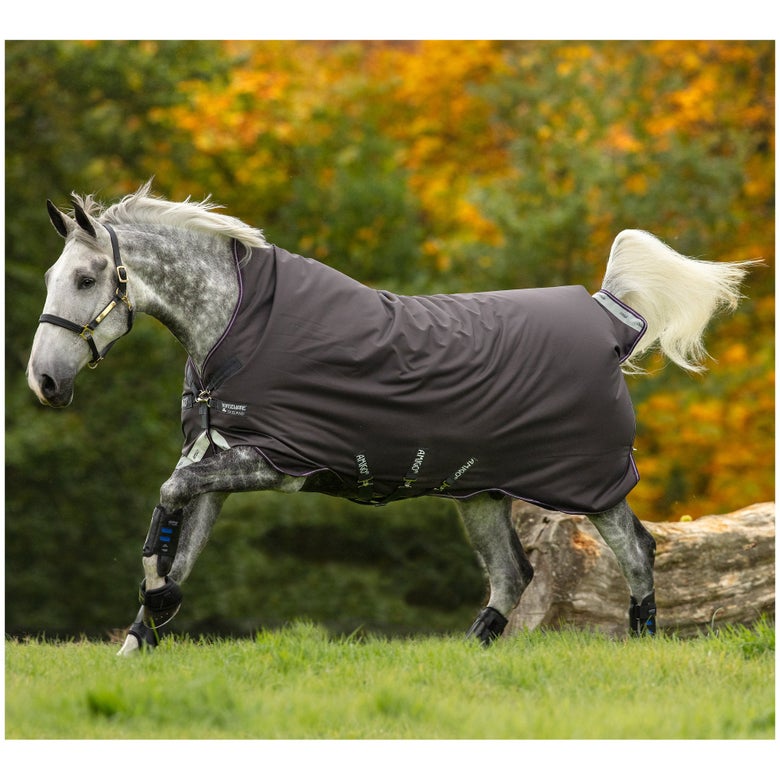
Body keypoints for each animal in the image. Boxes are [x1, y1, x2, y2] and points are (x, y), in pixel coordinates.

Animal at [26, 182, 754, 656]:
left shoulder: (271, 462)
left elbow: (168, 505)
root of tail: (611, 314)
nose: (45, 383)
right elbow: (172, 534)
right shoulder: (213, 461)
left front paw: (156, 607)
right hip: (479, 490)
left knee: (635, 552)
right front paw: (142, 633)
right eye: (54, 277)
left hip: (590, 484)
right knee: (512, 575)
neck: (237, 328)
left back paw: (643, 644)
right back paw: (467, 654)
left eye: (88, 278)